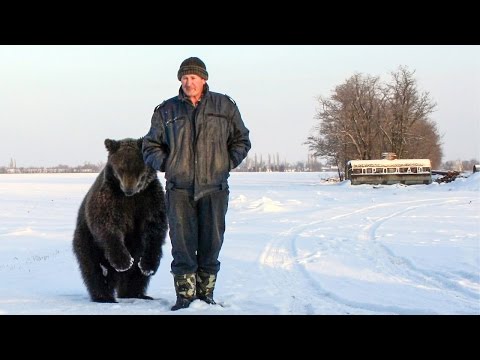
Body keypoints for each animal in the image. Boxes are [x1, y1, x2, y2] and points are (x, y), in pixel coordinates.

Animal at [72, 137, 168, 300]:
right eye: (121, 168)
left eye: (138, 168)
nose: (129, 189)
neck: (130, 198)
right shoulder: (110, 198)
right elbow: (107, 225)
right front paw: (123, 261)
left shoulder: (149, 200)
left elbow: (154, 229)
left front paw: (148, 265)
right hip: (87, 241)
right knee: (95, 271)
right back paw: (104, 297)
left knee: (136, 277)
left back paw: (137, 294)